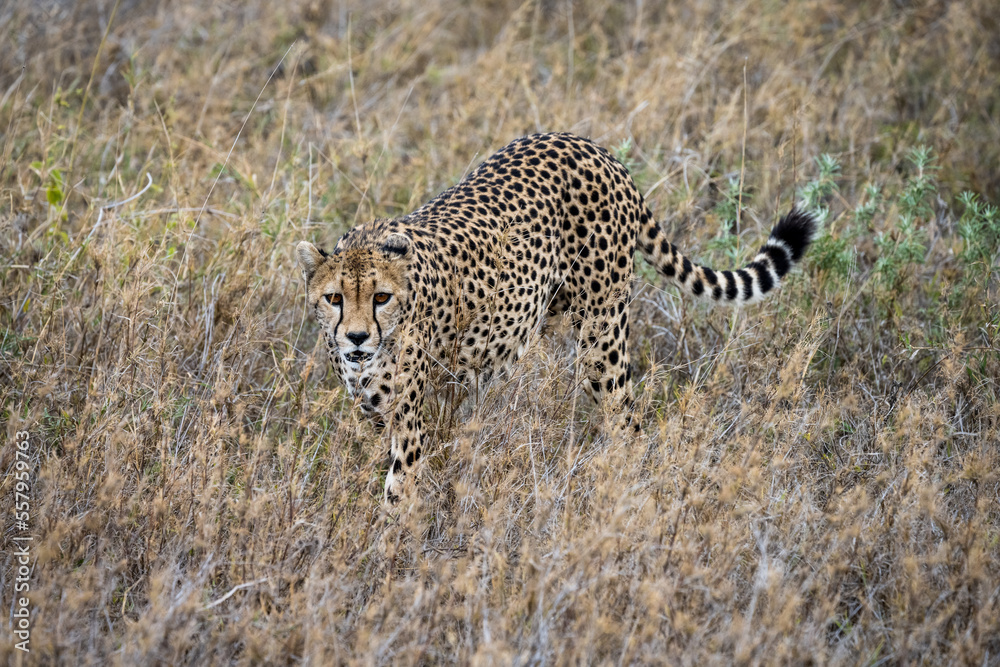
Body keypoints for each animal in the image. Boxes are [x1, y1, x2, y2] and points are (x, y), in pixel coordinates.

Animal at [296, 132, 815, 505]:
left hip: (602, 339)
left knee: (628, 423)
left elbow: (400, 487)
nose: (357, 338)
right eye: (334, 298)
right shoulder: (374, 409)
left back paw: (625, 493)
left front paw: (393, 555)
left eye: (381, 297)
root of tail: (590, 146)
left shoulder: (408, 415)